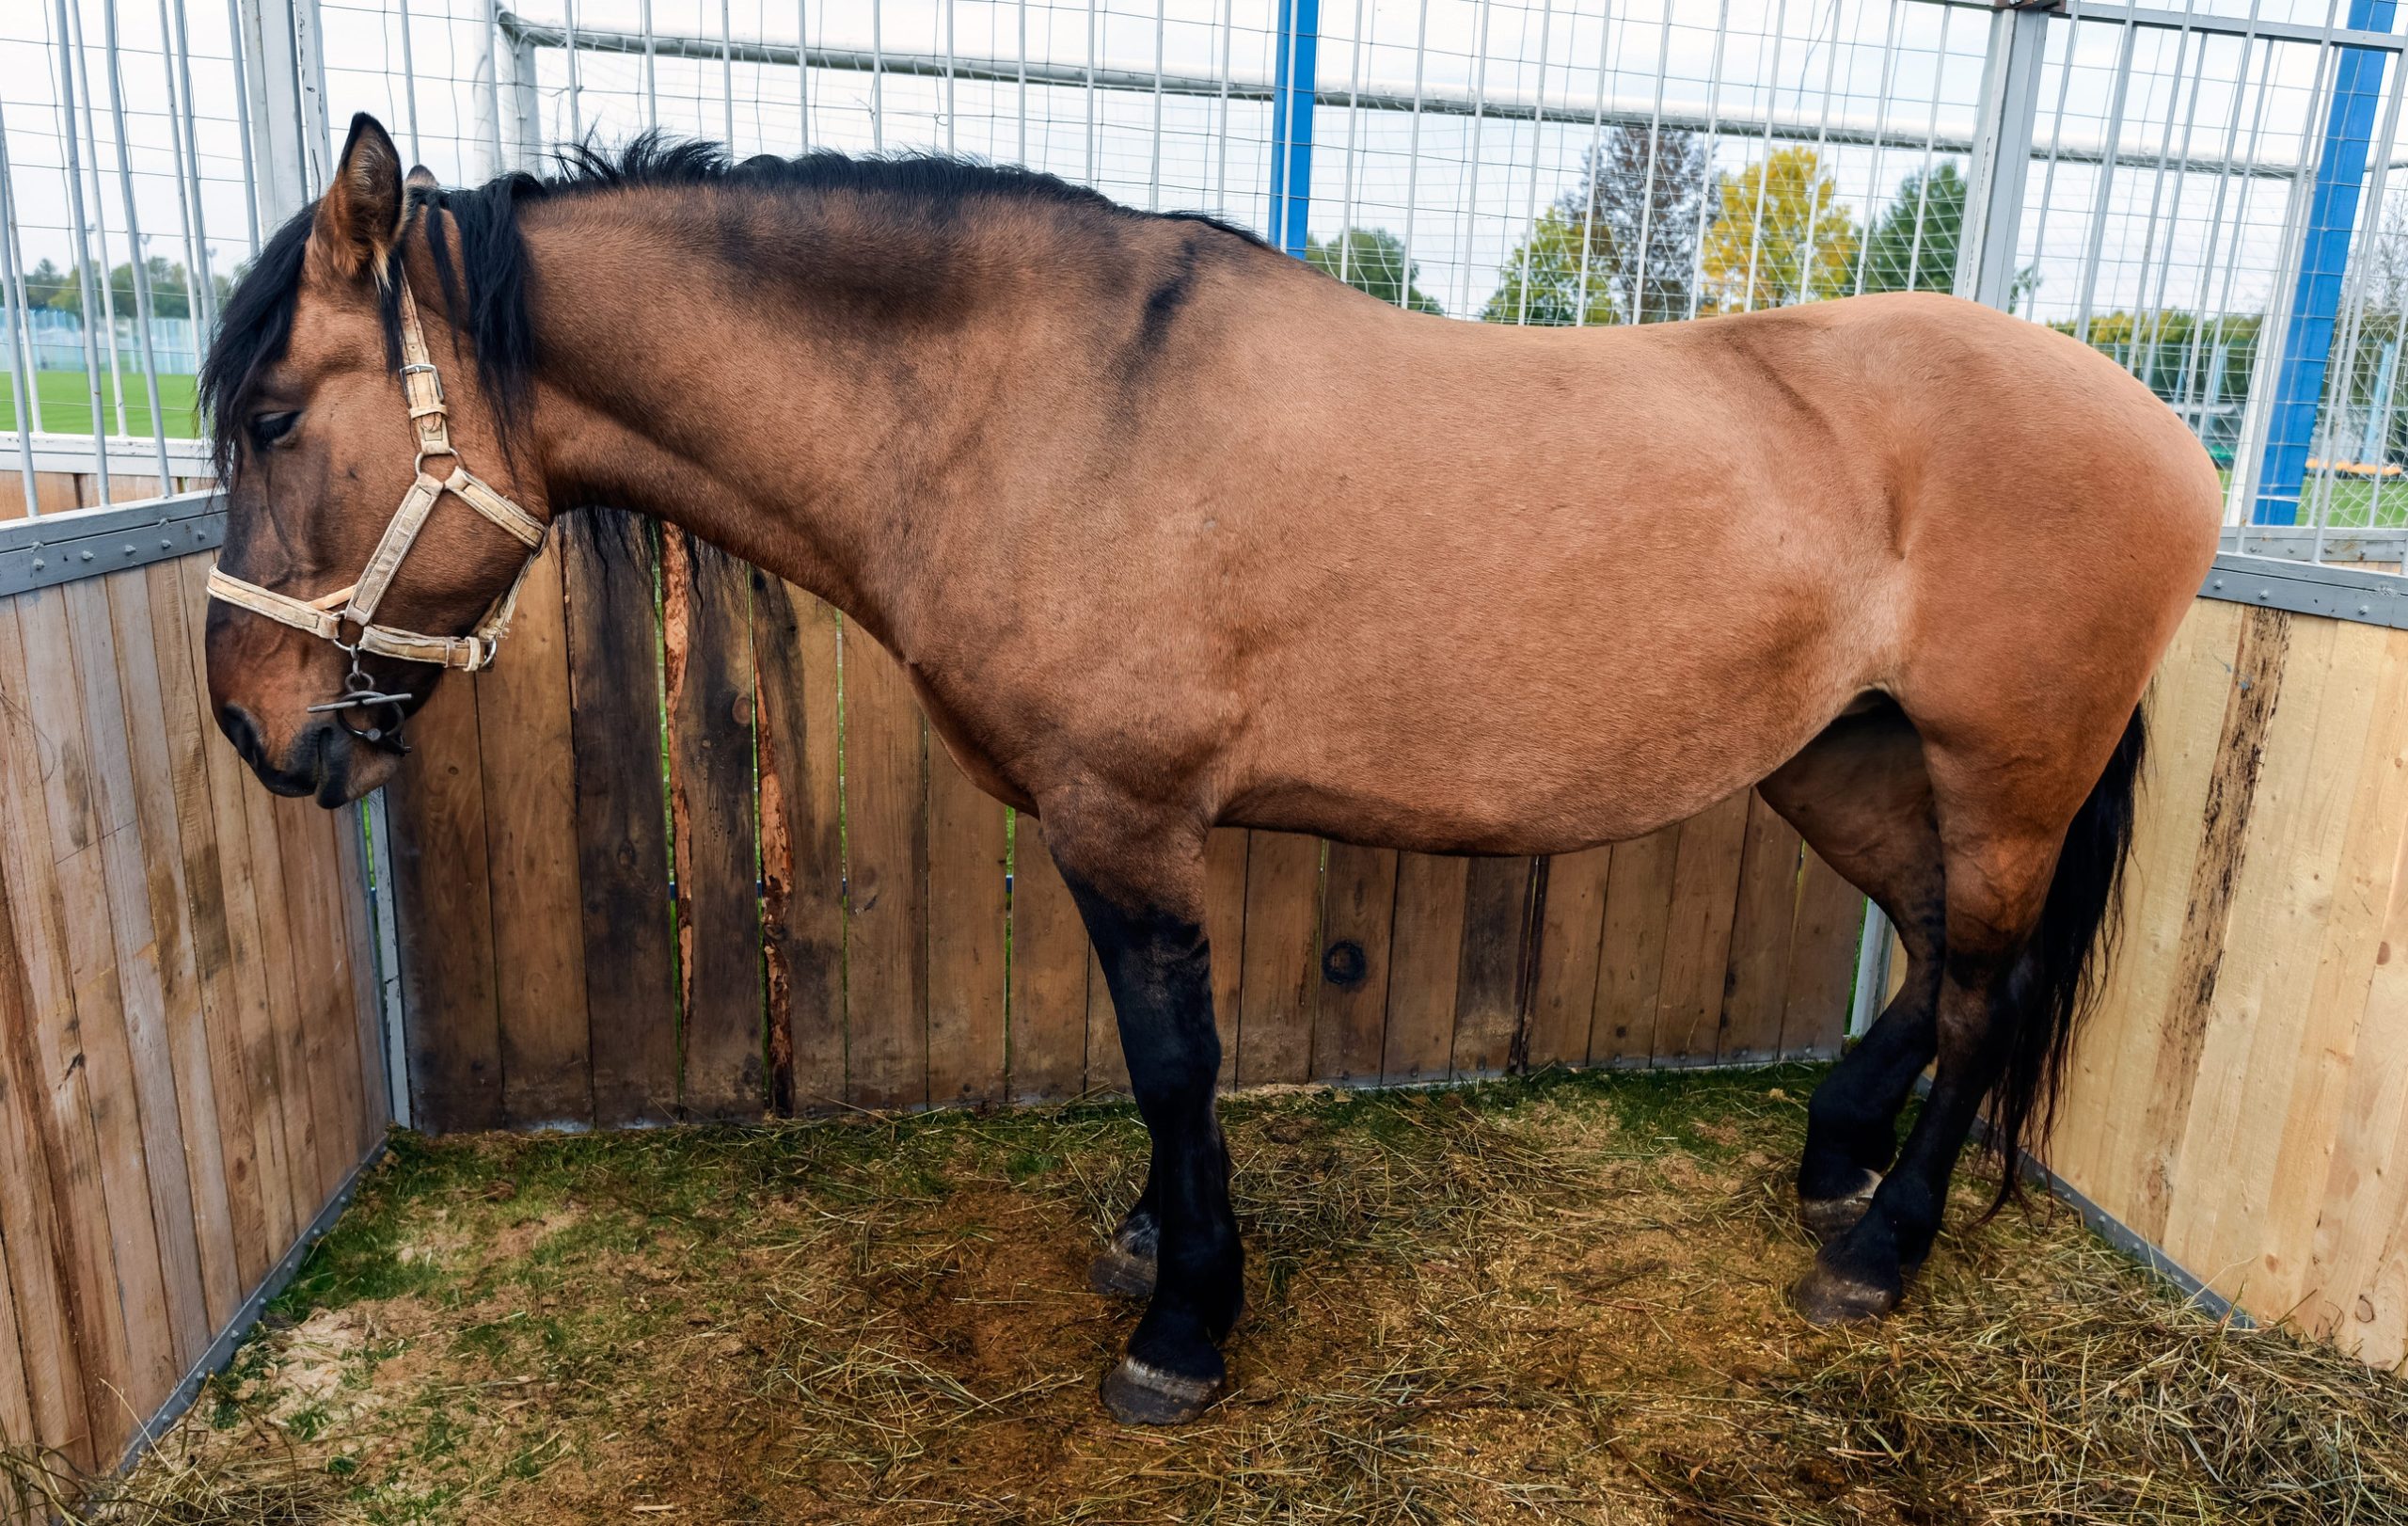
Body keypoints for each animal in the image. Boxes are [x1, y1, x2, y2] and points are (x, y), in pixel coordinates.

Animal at [201, 114, 2221, 1425]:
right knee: (1942, 961)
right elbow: (1153, 1061)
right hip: (1849, 761)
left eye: (279, 413)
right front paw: (1155, 1245)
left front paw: (1184, 1321)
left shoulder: (1127, 818)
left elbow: (1174, 1056)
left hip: (2005, 774)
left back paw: (1880, 1247)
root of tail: (2161, 427)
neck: (1036, 405)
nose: (249, 723)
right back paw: (1833, 1159)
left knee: (1991, 986)